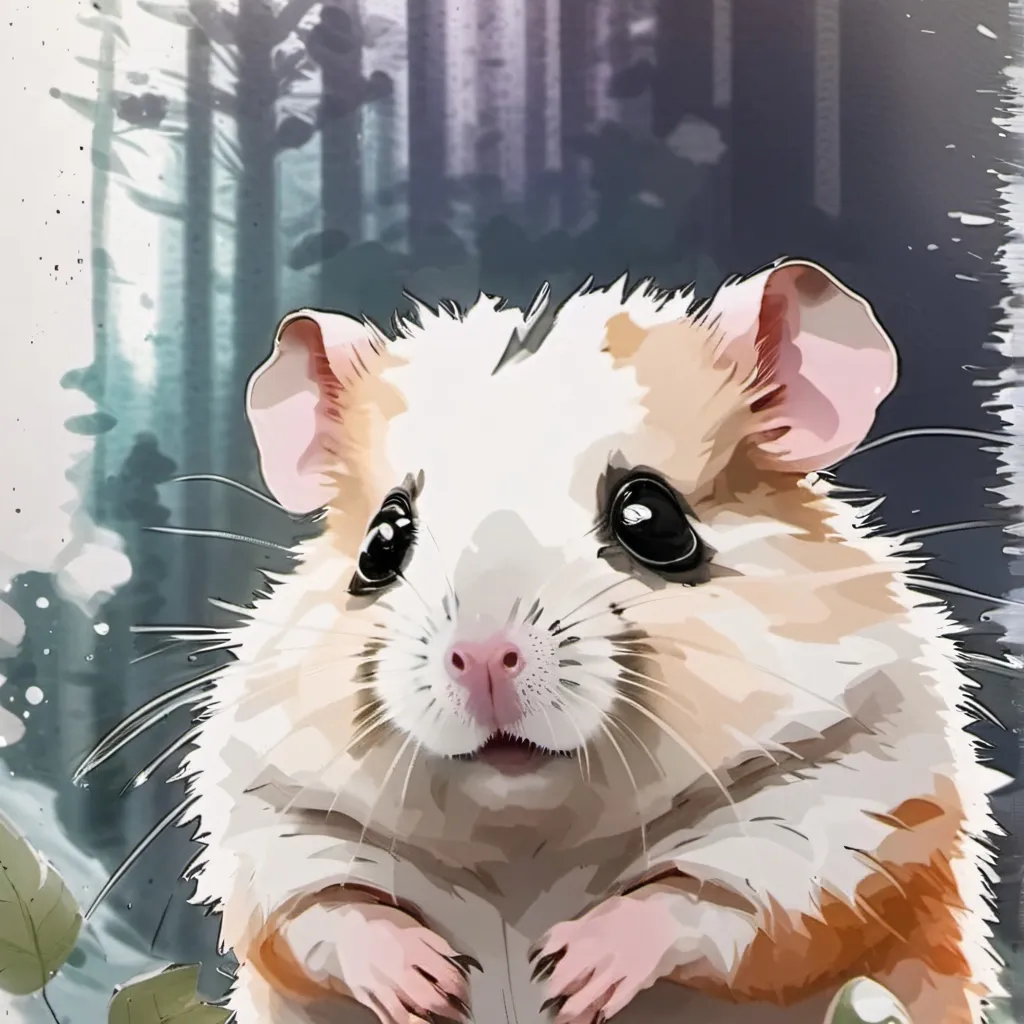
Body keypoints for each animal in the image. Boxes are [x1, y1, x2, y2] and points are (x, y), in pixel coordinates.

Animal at [181, 258, 1005, 1024]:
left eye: (653, 520)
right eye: (381, 543)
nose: (484, 660)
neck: (523, 847)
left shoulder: (857, 810)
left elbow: (721, 899)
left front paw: (570, 971)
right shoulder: (266, 826)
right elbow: (319, 912)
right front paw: (427, 980)